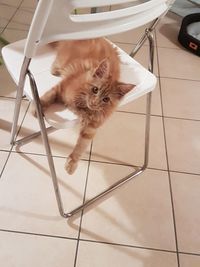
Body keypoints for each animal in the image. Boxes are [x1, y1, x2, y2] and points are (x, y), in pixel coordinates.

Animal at [32, 38, 134, 175]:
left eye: (106, 99)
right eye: (95, 89)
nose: (95, 102)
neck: (83, 108)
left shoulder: (91, 127)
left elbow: (81, 146)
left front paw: (72, 163)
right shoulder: (62, 88)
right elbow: (48, 96)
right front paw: (37, 109)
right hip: (62, 58)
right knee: (57, 61)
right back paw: (55, 69)